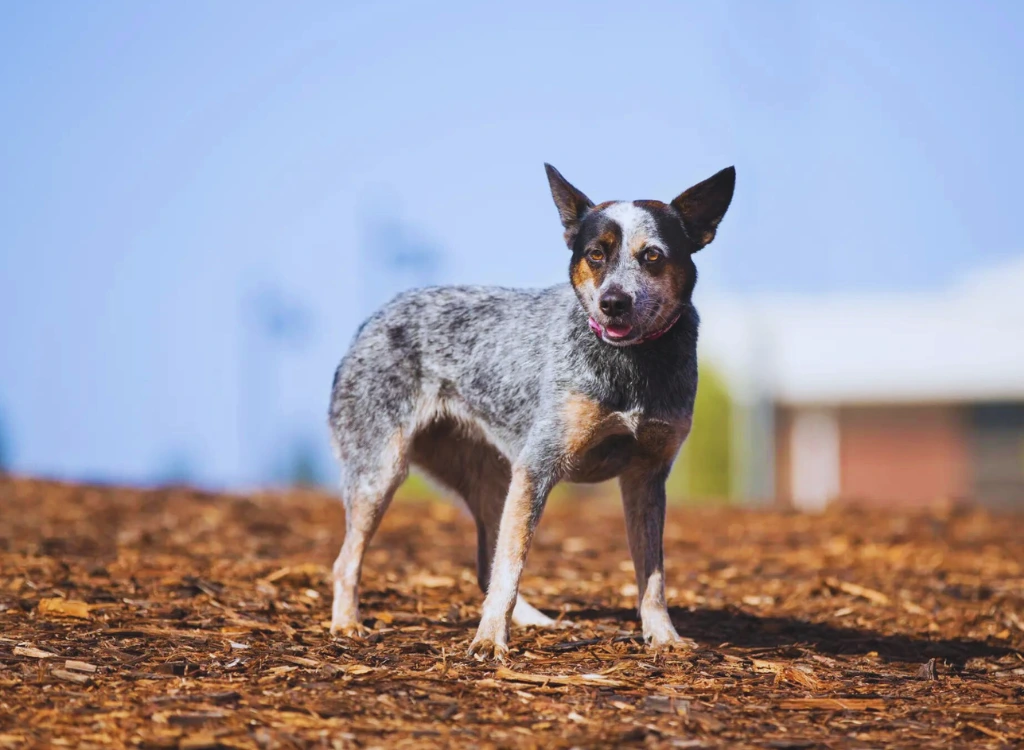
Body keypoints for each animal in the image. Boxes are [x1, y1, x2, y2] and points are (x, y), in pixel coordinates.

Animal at [327, 162, 737, 655]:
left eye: (653, 256)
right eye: (596, 254)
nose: (613, 303)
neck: (633, 363)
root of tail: (373, 319)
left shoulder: (647, 476)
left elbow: (652, 576)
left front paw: (663, 636)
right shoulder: (539, 465)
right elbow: (512, 566)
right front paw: (488, 641)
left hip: (496, 478)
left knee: (487, 562)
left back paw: (537, 621)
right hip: (382, 472)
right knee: (348, 560)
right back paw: (347, 624)